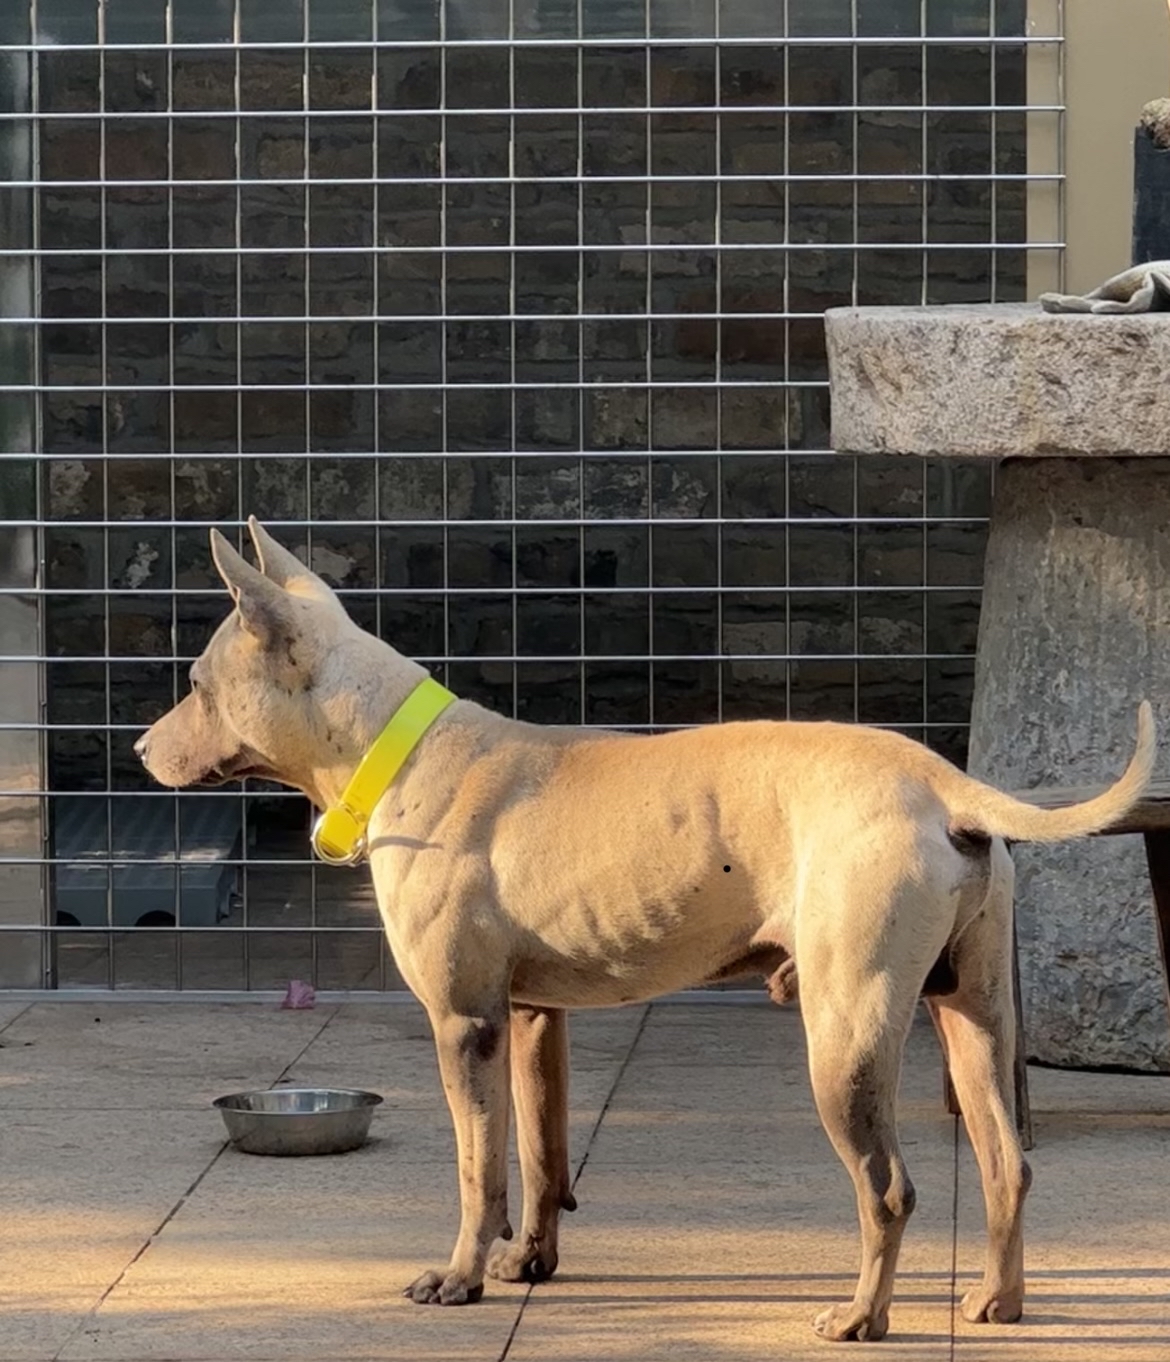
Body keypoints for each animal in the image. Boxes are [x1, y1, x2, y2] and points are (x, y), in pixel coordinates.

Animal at [134, 517, 1155, 1340]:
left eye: (195, 682)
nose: (141, 748)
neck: (396, 749)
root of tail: (938, 783)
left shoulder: (465, 1026)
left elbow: (478, 1167)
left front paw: (462, 1277)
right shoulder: (533, 1020)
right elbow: (539, 1151)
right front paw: (529, 1262)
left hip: (845, 1034)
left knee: (888, 1187)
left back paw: (862, 1318)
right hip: (972, 1011)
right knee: (1006, 1164)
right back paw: (998, 1301)